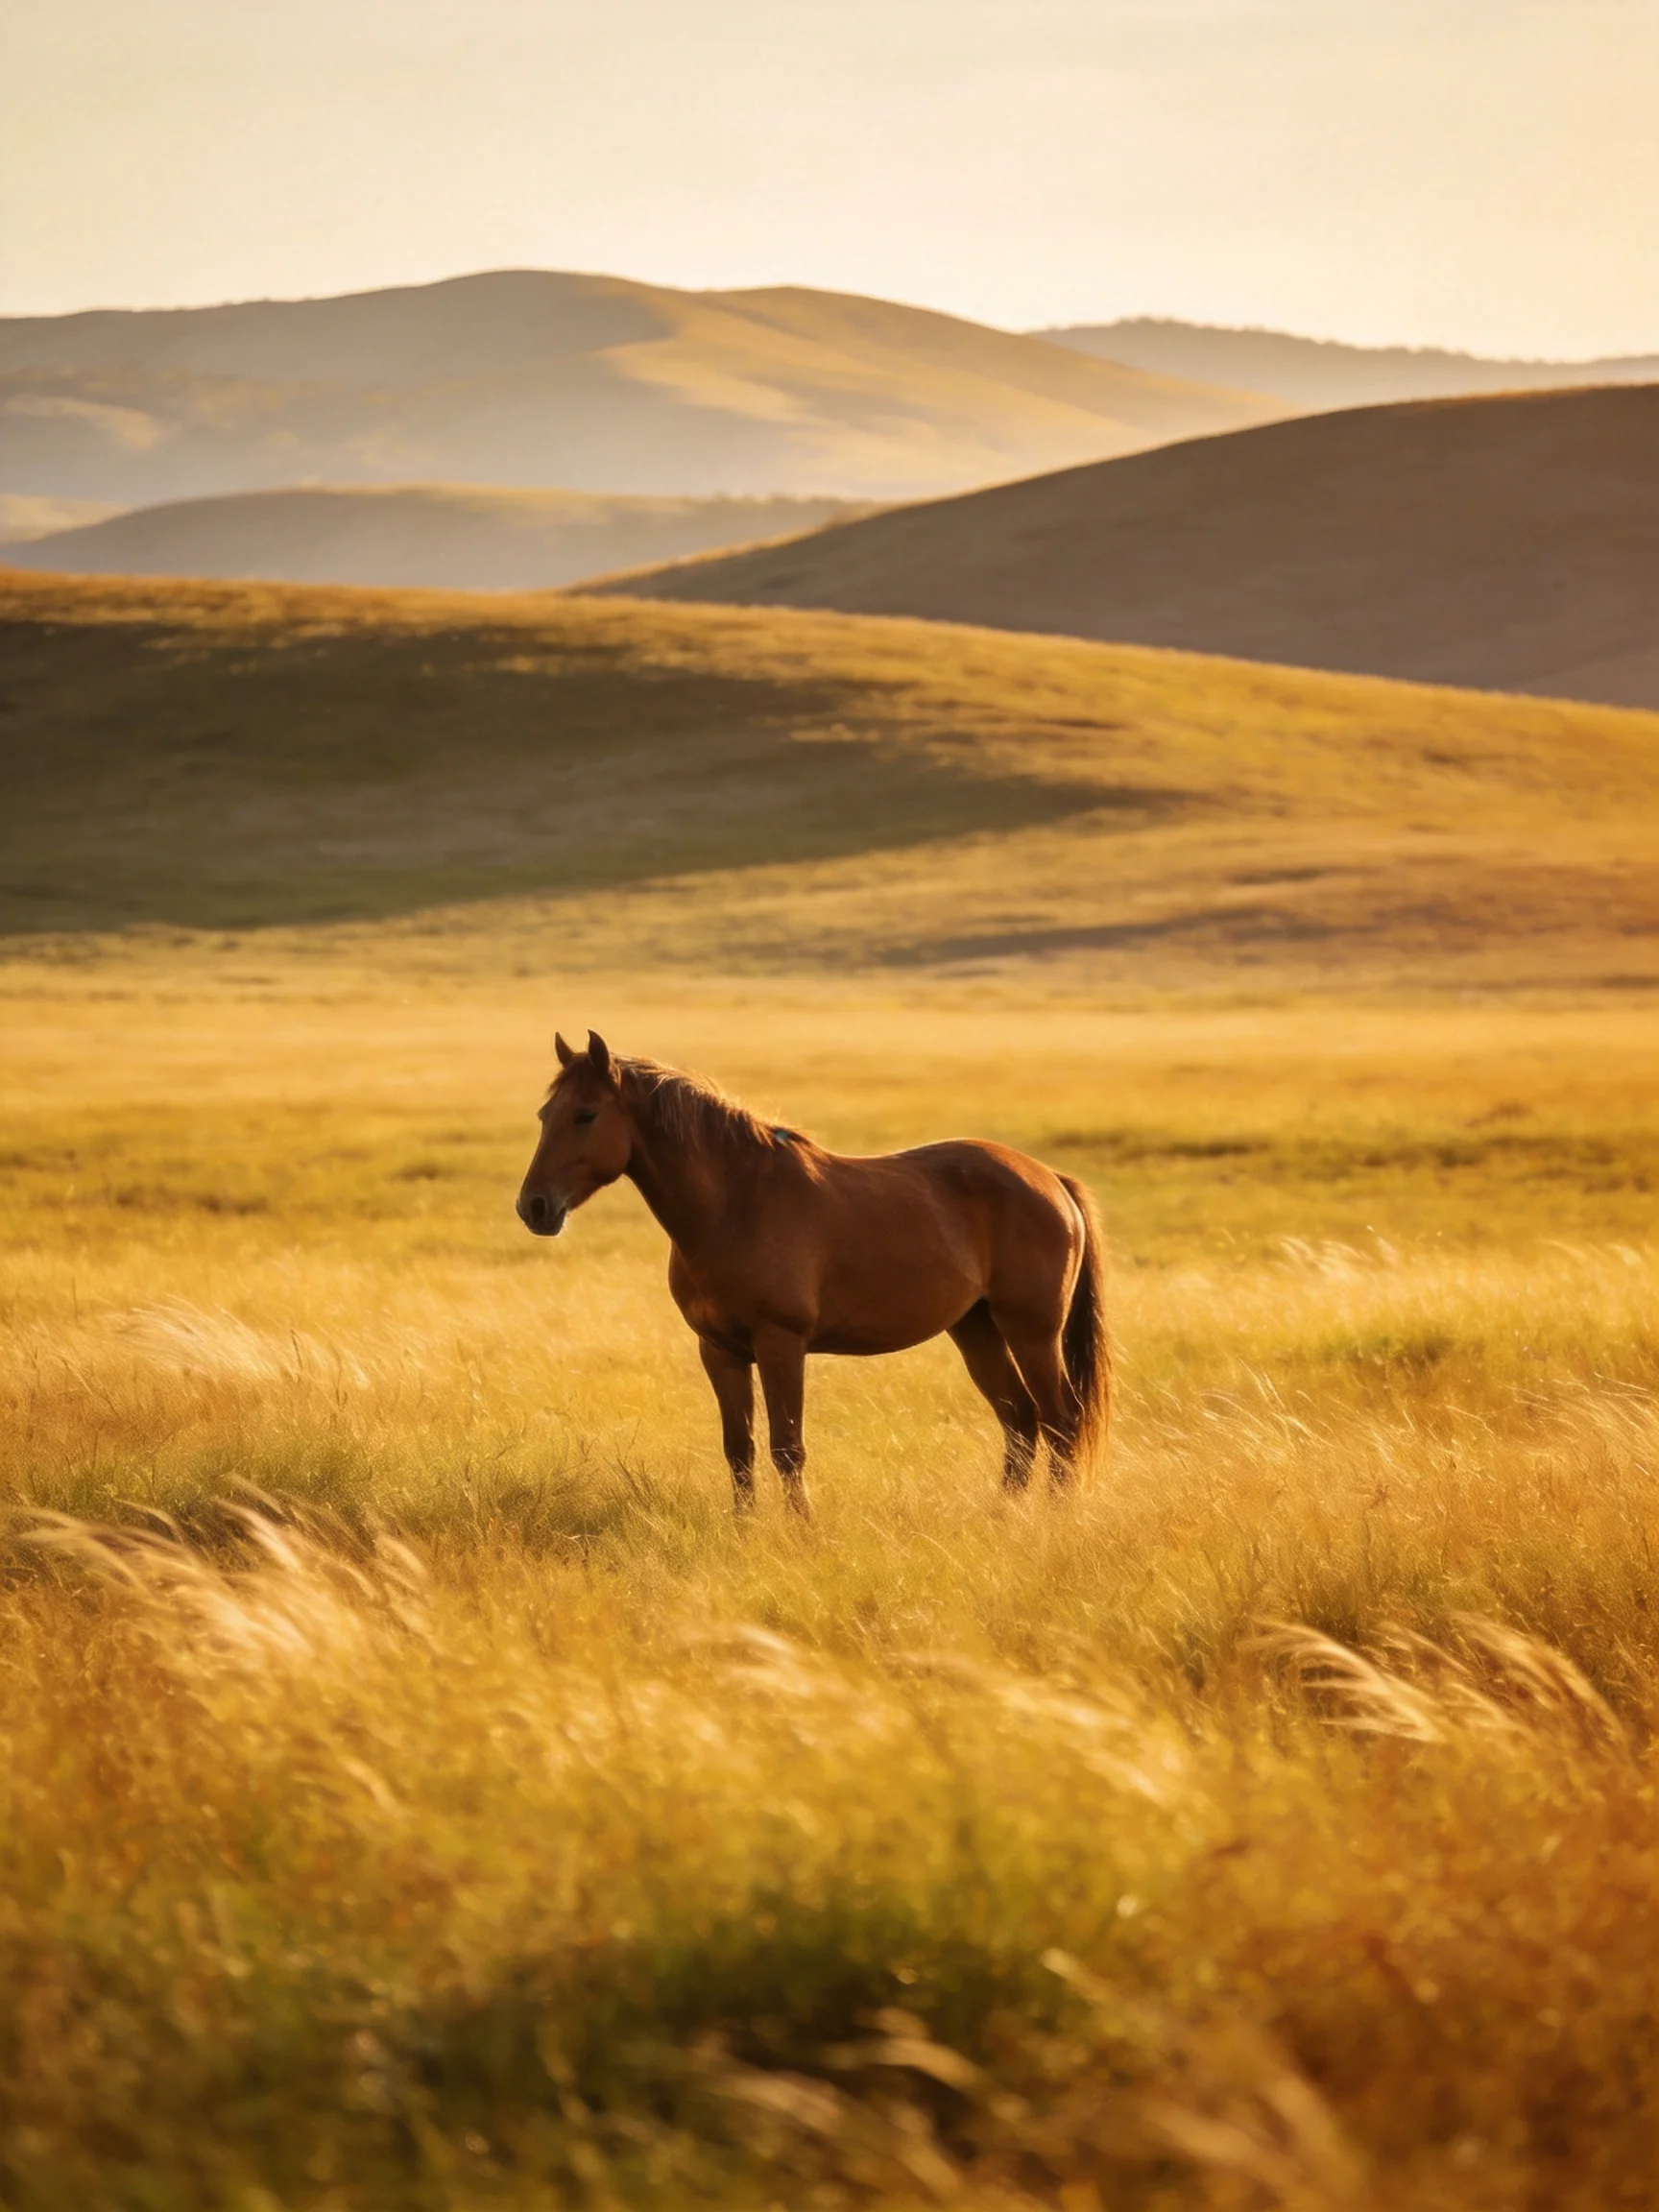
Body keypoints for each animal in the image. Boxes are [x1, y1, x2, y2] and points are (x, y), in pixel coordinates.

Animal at [516, 1031, 1110, 1518]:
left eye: (586, 1115)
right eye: (545, 1116)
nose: (534, 1207)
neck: (735, 1205)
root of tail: (1049, 1179)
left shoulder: (782, 1344)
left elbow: (787, 1446)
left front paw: (801, 1530)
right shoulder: (720, 1350)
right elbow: (739, 1448)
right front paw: (744, 1528)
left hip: (1032, 1333)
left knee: (1059, 1420)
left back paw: (1053, 1517)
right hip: (976, 1329)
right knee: (1021, 1419)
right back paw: (1002, 1515)